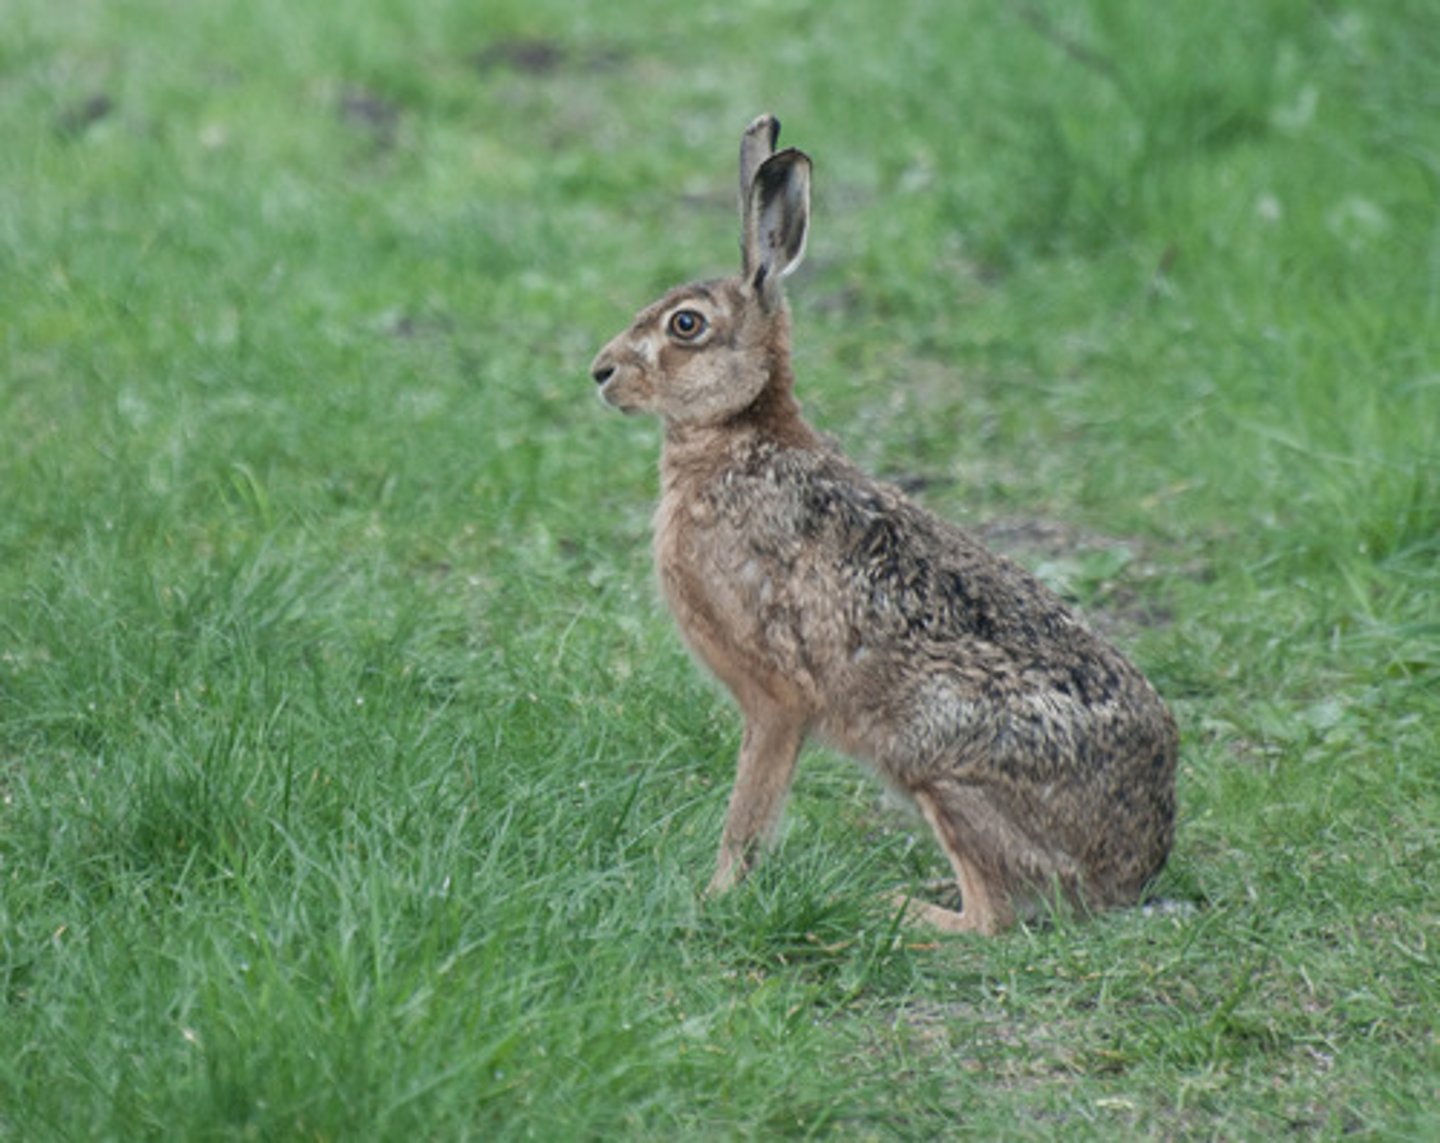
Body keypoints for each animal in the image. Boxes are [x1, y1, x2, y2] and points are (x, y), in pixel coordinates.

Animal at [589, 114, 1178, 934]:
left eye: (686, 325)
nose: (601, 373)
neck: (740, 436)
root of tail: (1134, 866)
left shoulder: (778, 699)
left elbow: (748, 812)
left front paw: (715, 897)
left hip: (940, 760)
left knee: (993, 919)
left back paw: (897, 910)